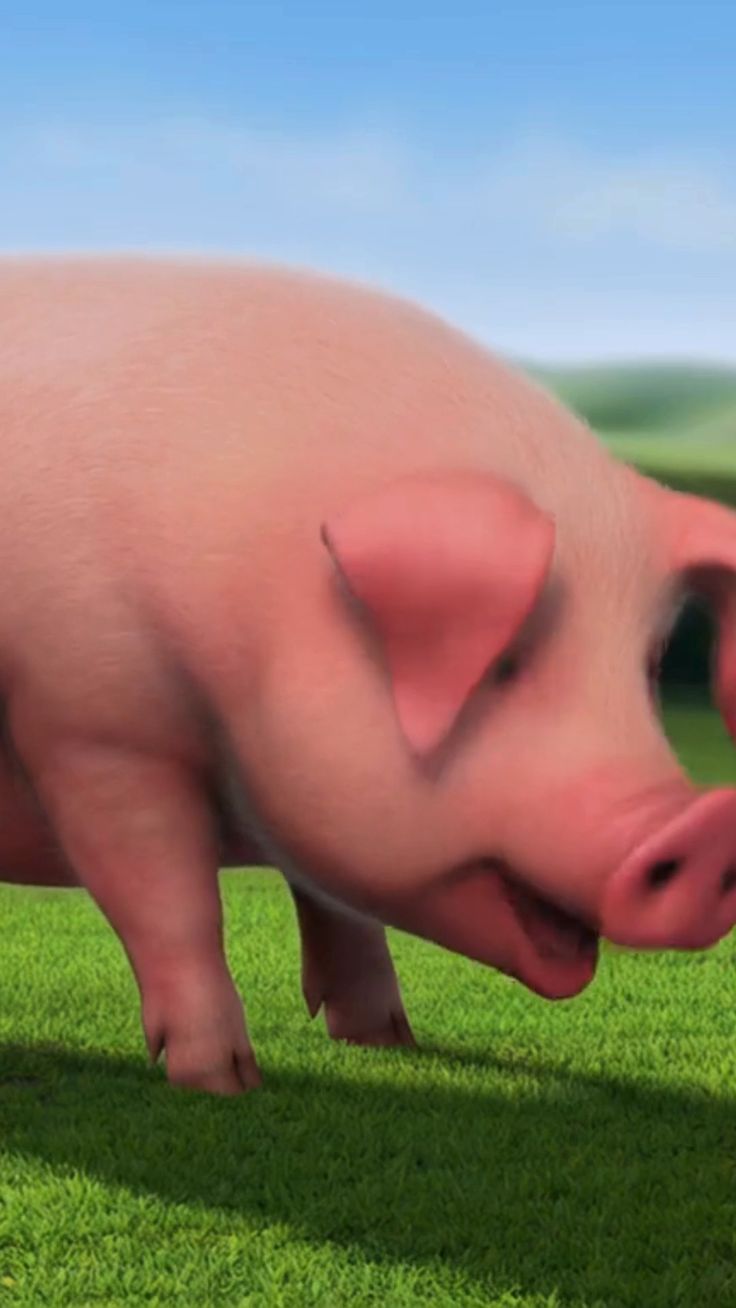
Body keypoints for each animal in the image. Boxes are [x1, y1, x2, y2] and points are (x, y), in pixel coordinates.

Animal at [1, 255, 736, 1097]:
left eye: (646, 668)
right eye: (504, 663)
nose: (705, 823)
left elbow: (342, 908)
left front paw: (388, 1040)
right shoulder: (94, 731)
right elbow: (174, 905)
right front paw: (225, 1080)